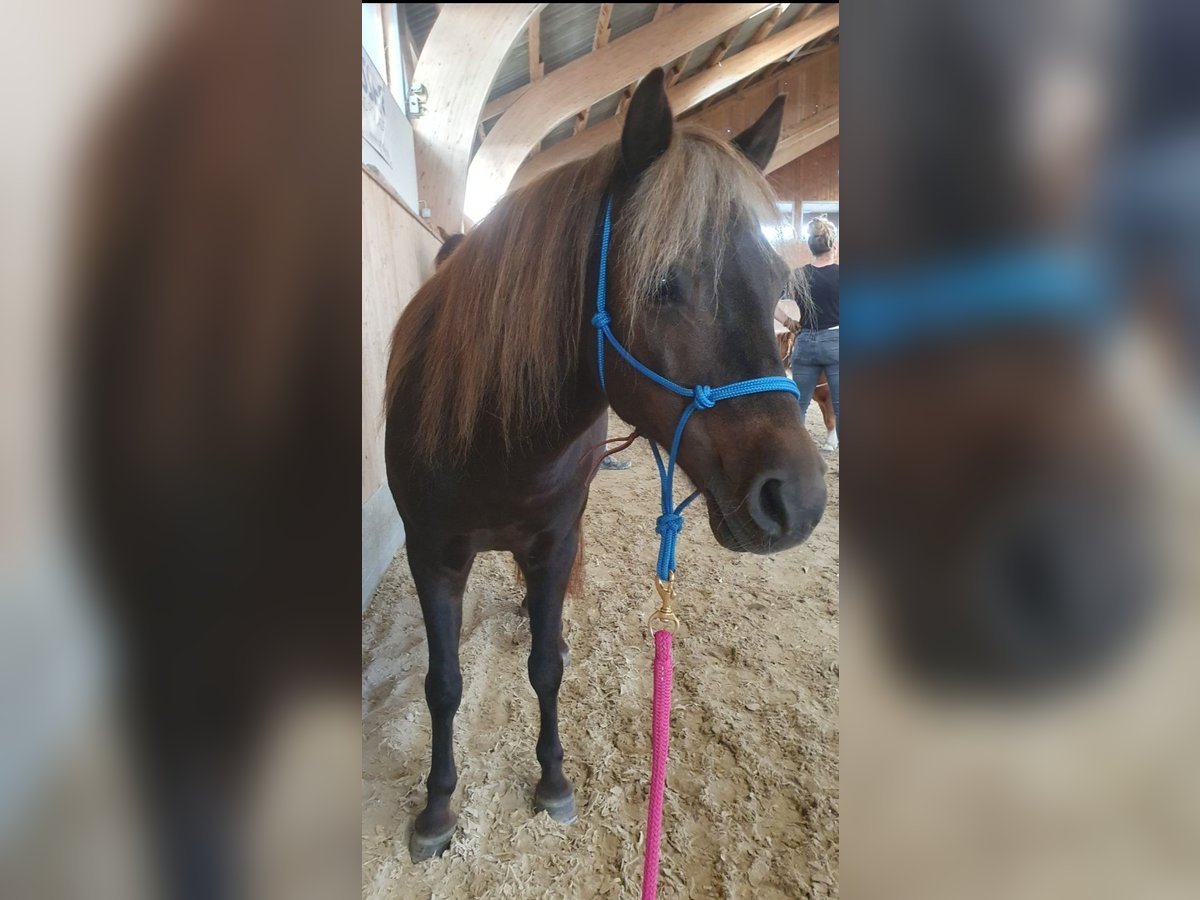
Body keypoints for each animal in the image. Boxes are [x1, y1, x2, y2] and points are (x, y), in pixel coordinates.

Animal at [384, 68, 827, 860]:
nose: (798, 500)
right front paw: (436, 807)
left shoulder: (555, 541)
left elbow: (547, 665)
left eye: (781, 281)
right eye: (661, 284)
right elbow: (444, 684)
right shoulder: (431, 555)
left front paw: (553, 779)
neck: (493, 442)